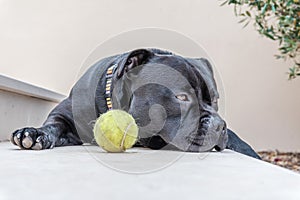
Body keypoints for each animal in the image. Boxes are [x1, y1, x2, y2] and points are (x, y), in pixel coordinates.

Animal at [10, 48, 260, 159]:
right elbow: (54, 125)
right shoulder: (65, 118)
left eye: (215, 99)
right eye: (181, 97)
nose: (219, 125)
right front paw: (34, 133)